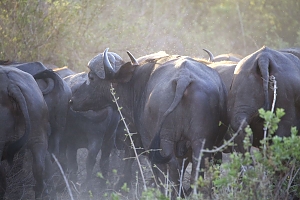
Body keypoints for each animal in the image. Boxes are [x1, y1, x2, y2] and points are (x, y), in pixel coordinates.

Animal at [69, 48, 227, 195]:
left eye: (91, 77)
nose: (72, 100)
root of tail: (183, 78)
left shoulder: (139, 136)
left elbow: (131, 157)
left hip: (164, 140)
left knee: (170, 166)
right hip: (200, 140)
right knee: (197, 167)